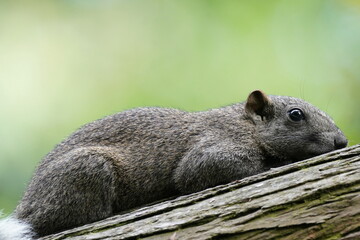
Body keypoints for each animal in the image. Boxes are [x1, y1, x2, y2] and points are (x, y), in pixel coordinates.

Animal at [0, 89, 348, 239]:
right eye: (295, 115)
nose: (341, 141)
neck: (247, 126)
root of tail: (26, 207)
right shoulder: (213, 148)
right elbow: (194, 174)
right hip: (87, 169)